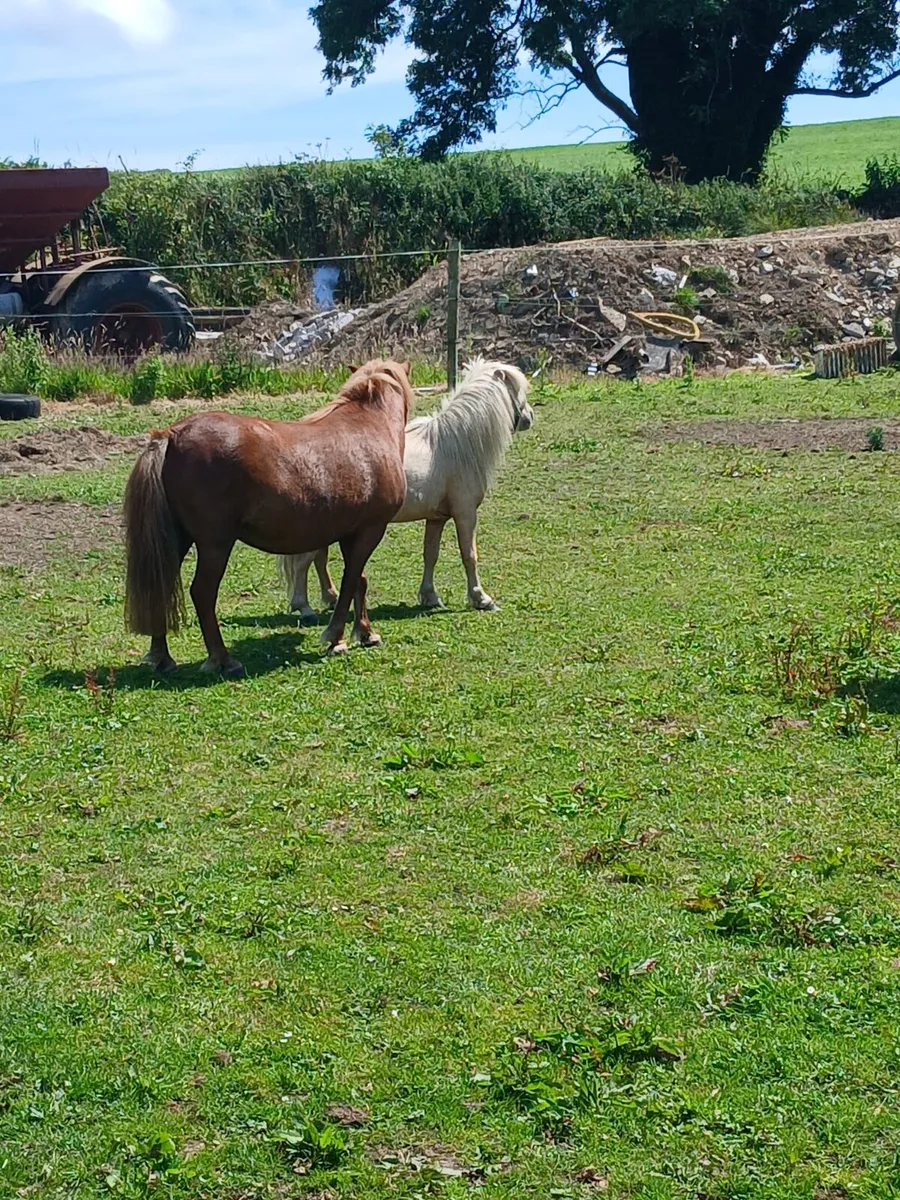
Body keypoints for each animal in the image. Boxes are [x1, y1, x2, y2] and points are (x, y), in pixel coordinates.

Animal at [124, 359, 413, 678]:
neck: (369, 427)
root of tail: (172, 435)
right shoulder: (371, 530)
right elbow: (350, 582)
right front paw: (335, 637)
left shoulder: (352, 533)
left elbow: (359, 579)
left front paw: (365, 632)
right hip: (215, 545)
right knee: (202, 593)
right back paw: (223, 659)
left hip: (177, 539)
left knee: (160, 587)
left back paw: (162, 657)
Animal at [279, 357, 534, 619]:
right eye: (518, 391)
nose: (529, 417)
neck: (454, 443)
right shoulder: (465, 513)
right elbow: (469, 554)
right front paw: (481, 598)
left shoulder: (437, 518)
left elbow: (430, 554)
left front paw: (430, 596)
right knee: (304, 561)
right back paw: (303, 607)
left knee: (318, 559)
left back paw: (330, 598)